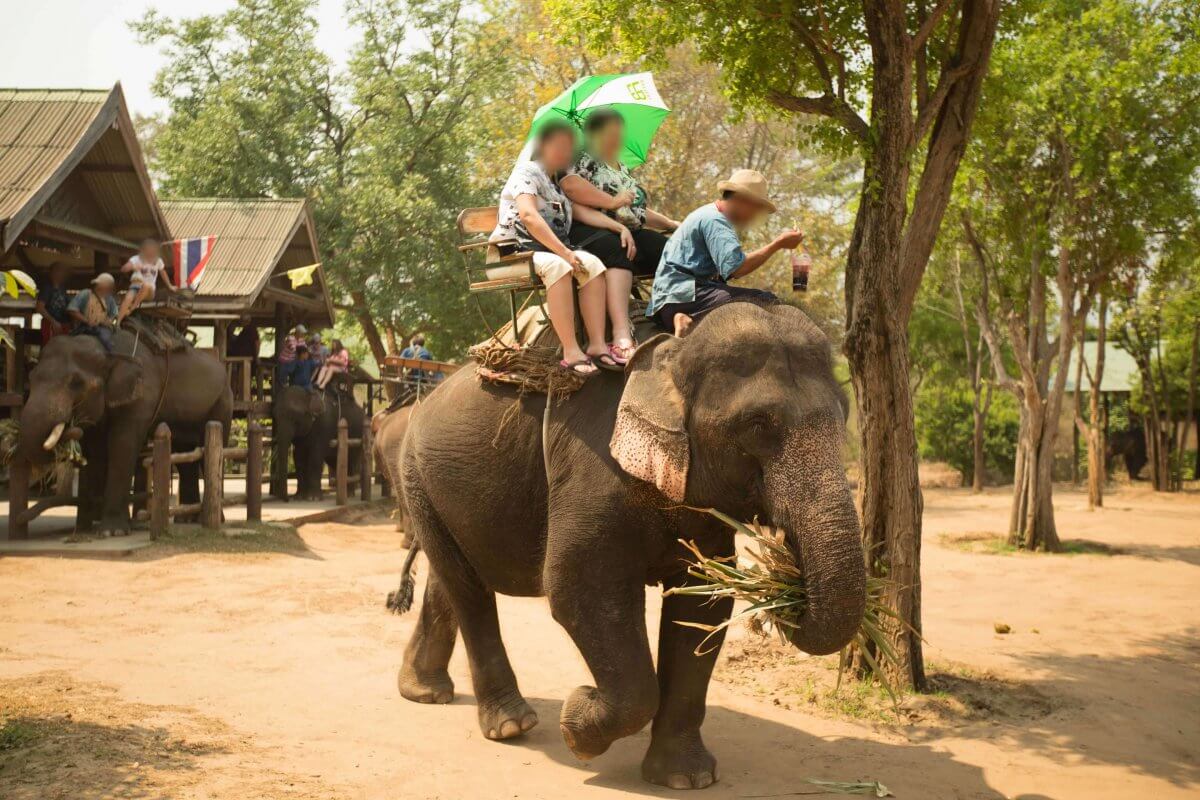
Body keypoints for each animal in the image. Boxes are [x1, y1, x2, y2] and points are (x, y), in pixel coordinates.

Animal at [17, 328, 231, 534]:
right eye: (31, 378)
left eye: (76, 383)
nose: (72, 428)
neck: (107, 350)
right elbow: (98, 451)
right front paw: (102, 525)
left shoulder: (142, 395)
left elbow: (122, 445)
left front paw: (112, 531)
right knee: (184, 455)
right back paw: (186, 519)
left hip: (221, 403)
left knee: (209, 451)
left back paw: (214, 519)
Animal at [398, 303, 868, 791]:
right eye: (757, 425)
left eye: (843, 417)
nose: (787, 591)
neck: (674, 352)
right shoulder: (594, 467)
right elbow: (579, 588)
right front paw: (577, 722)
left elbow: (702, 606)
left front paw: (686, 779)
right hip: (414, 474)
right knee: (467, 589)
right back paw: (512, 725)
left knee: (450, 578)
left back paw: (424, 692)